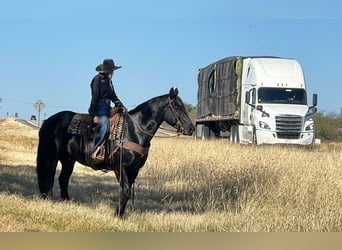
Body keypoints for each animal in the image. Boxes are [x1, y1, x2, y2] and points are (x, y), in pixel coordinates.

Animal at [36, 88, 195, 217]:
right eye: (176, 106)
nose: (191, 128)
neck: (133, 130)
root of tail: (48, 121)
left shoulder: (134, 169)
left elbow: (127, 192)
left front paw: (121, 214)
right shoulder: (121, 167)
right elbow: (125, 191)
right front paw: (117, 214)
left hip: (68, 160)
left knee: (63, 178)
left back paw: (67, 202)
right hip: (52, 156)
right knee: (50, 176)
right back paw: (49, 199)